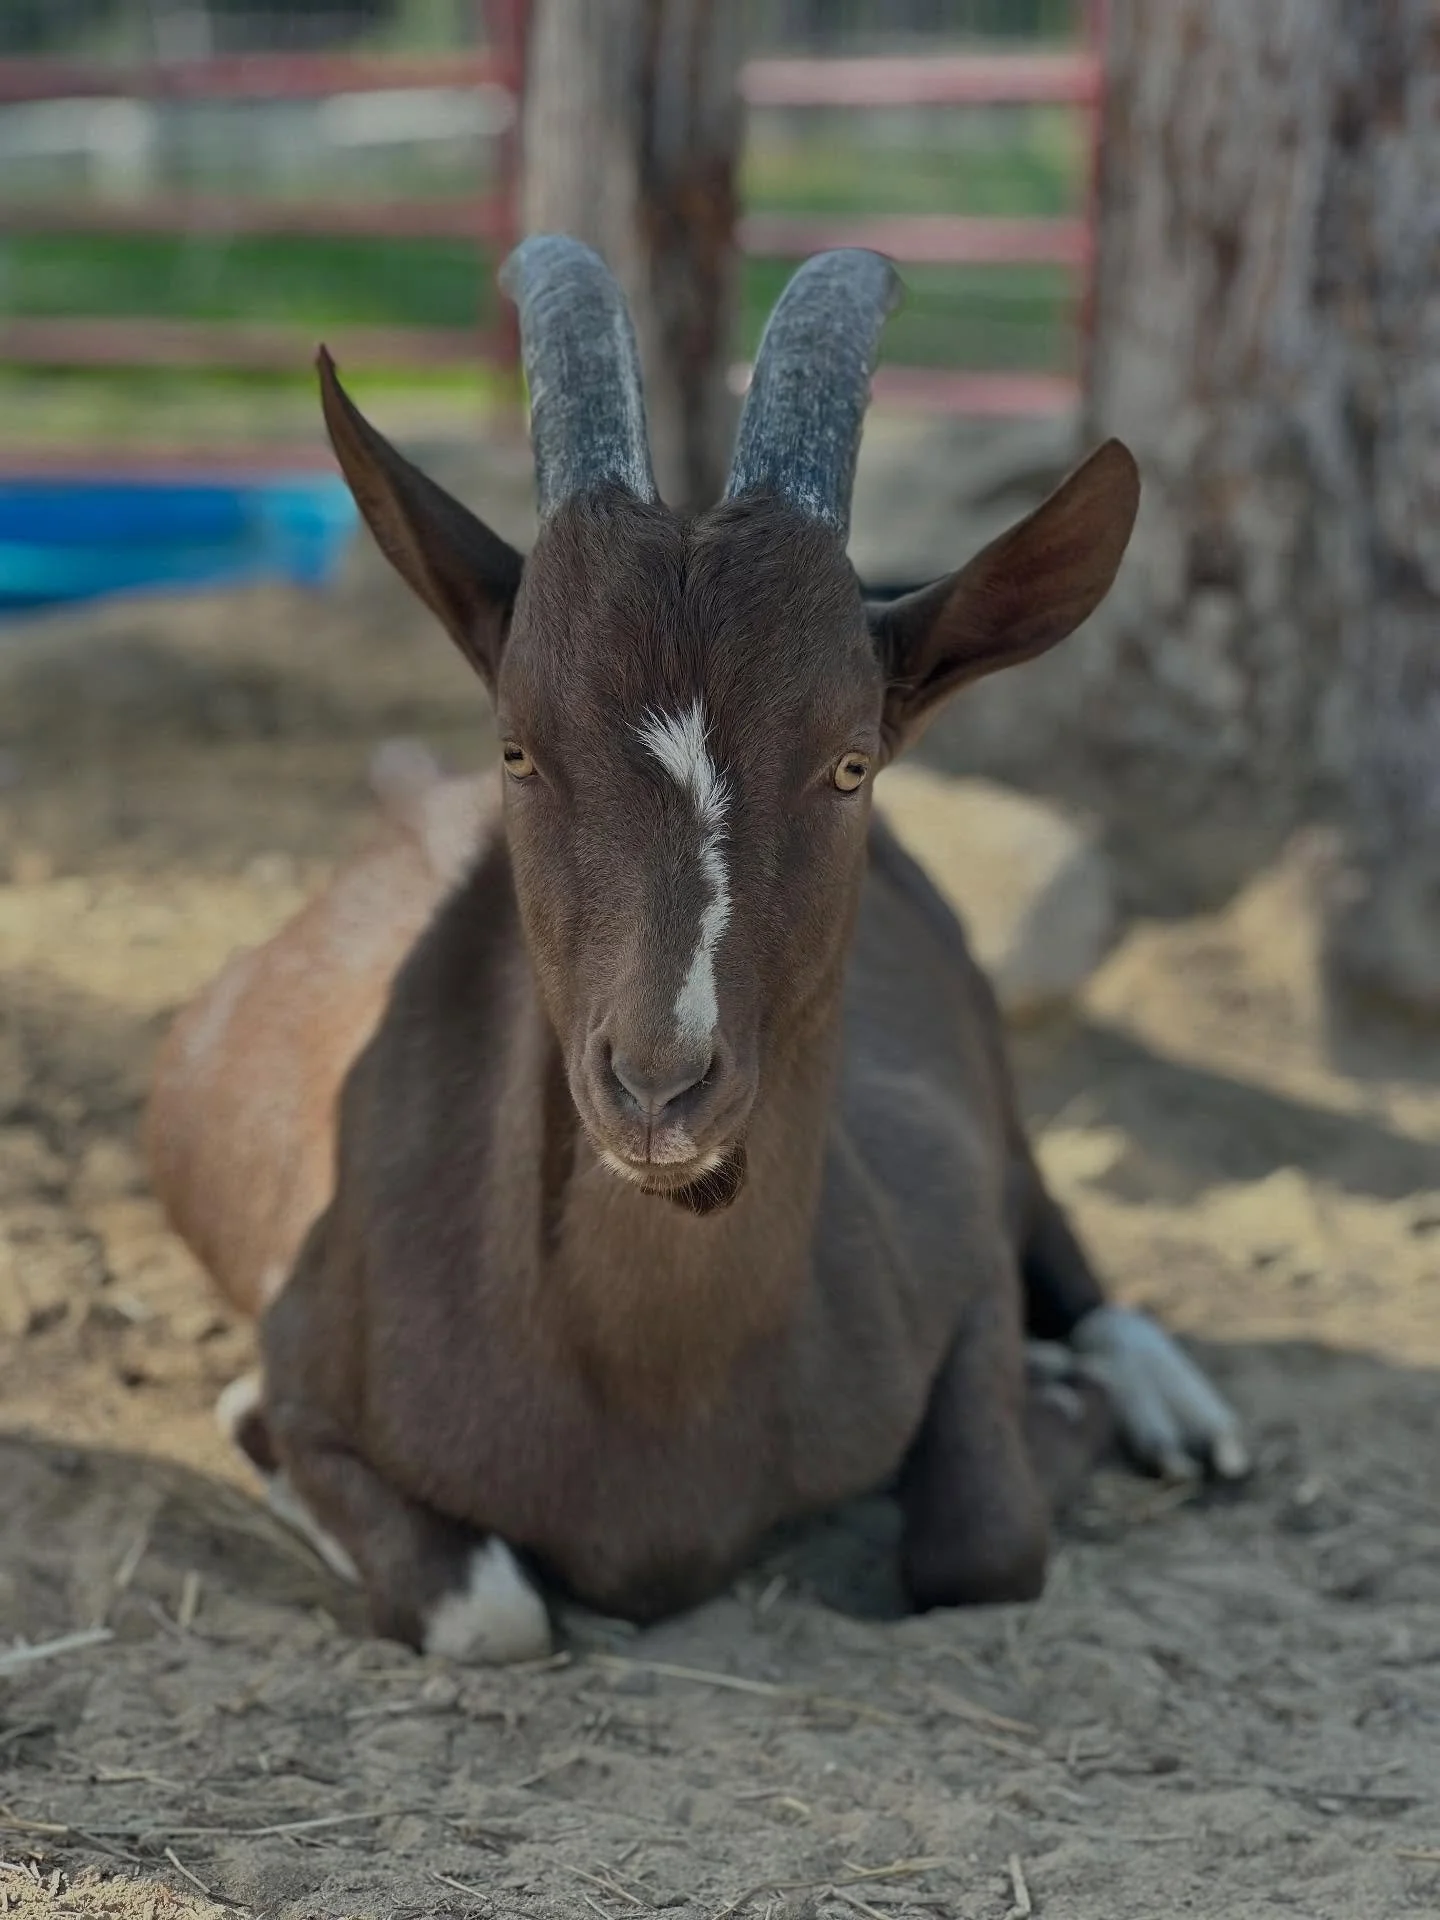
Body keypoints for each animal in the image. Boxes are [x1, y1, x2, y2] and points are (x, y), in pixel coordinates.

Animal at [147, 241, 1247, 1662]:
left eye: (850, 762)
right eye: (518, 744)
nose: (660, 1085)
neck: (652, 1392)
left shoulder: (944, 1210)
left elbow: (984, 1538)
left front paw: (1063, 1401)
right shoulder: (306, 1372)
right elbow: (488, 1608)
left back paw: (1177, 1406)